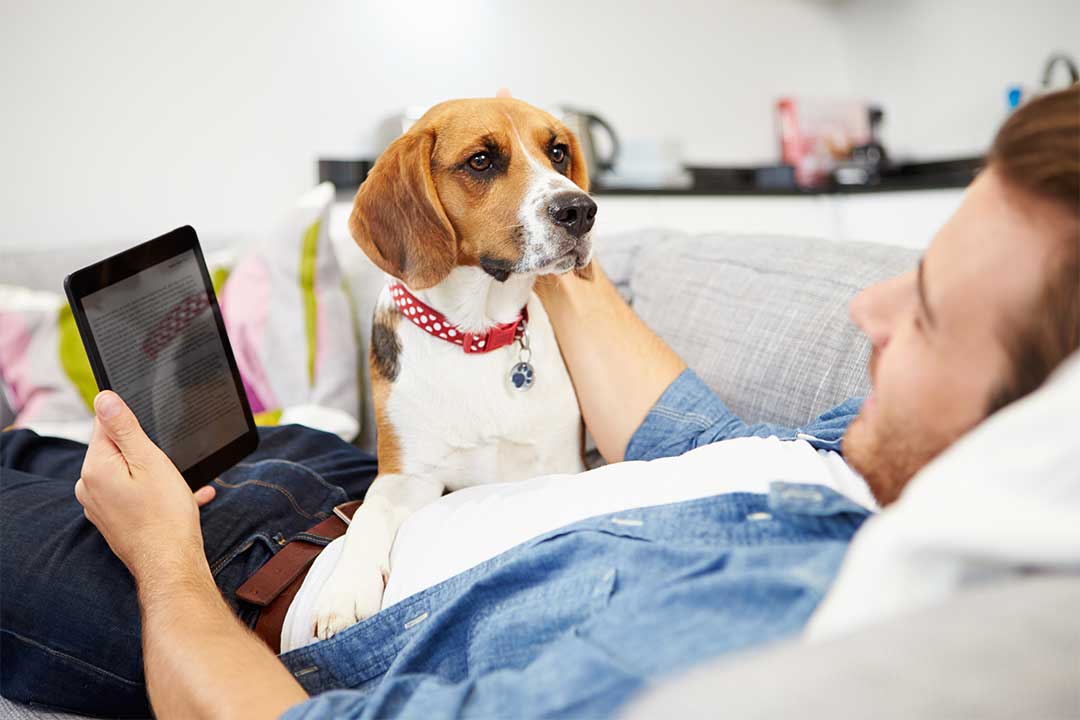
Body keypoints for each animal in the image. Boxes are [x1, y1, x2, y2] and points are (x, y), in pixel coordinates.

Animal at [313, 97, 596, 634]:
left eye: (558, 152)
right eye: (481, 161)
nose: (581, 210)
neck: (477, 332)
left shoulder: (559, 464)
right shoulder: (408, 476)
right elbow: (368, 513)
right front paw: (344, 590)